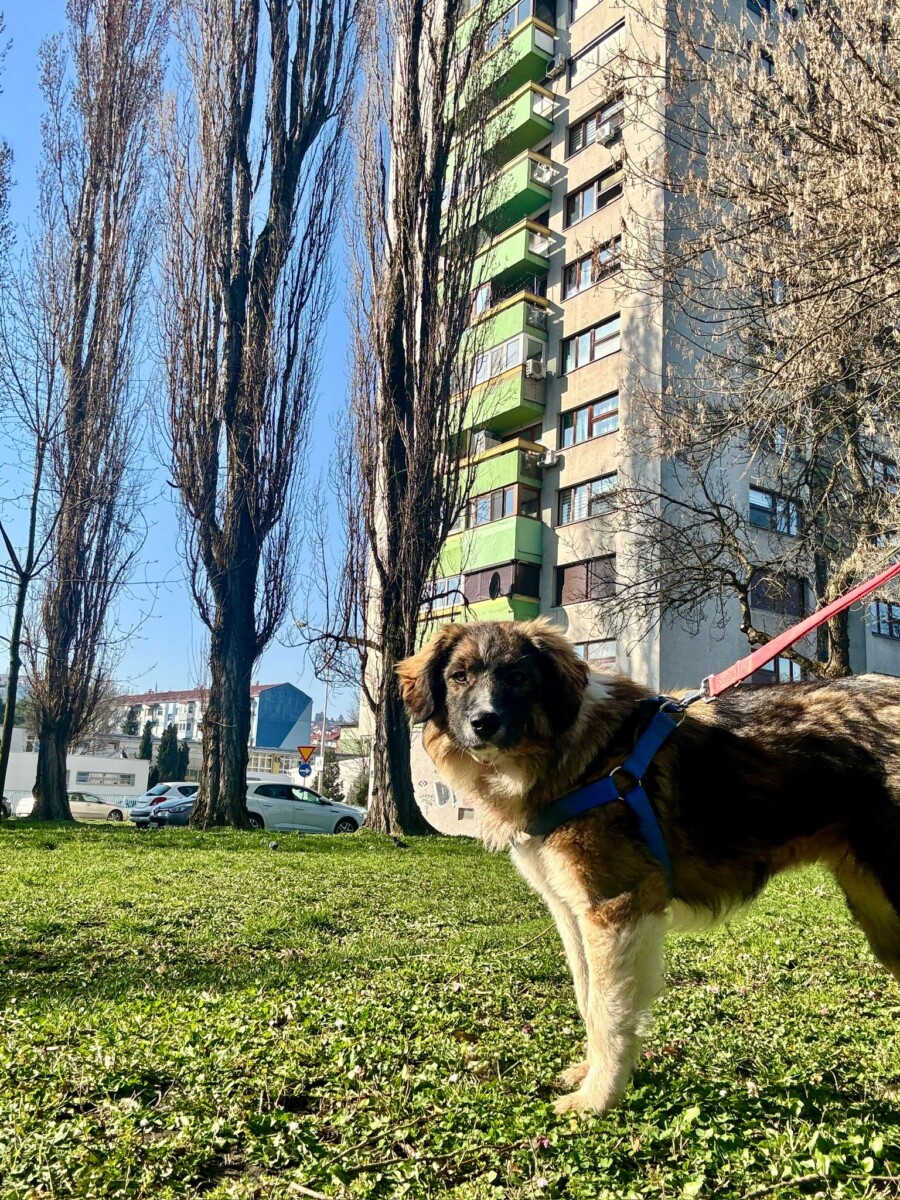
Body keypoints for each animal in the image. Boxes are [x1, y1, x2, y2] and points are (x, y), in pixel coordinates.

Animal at [396, 618, 900, 1115]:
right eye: (459, 677)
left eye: (518, 676)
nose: (484, 722)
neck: (578, 757)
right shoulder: (573, 911)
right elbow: (588, 998)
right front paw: (589, 1074)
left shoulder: (617, 908)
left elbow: (610, 1012)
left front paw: (597, 1097)